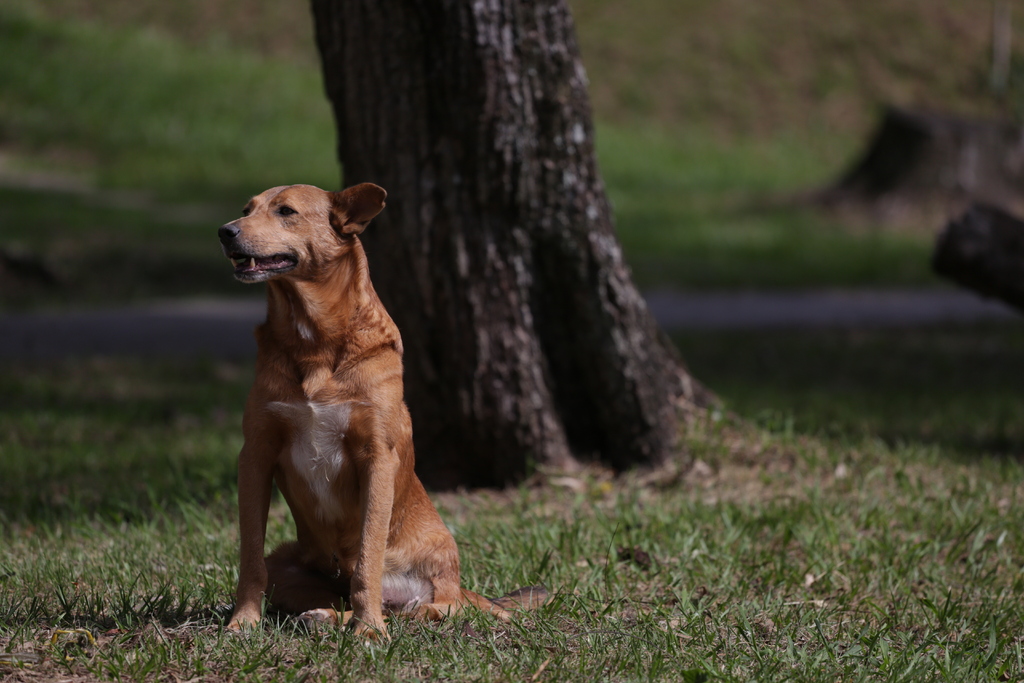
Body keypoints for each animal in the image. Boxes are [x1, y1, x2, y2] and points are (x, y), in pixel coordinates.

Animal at [221, 183, 548, 643]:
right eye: (247, 209)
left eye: (286, 211)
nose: (225, 232)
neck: (314, 340)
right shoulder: (256, 454)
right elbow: (250, 557)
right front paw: (243, 621)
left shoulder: (376, 457)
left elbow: (368, 559)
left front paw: (369, 629)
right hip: (289, 562)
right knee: (314, 590)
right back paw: (323, 616)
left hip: (438, 568)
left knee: (433, 608)